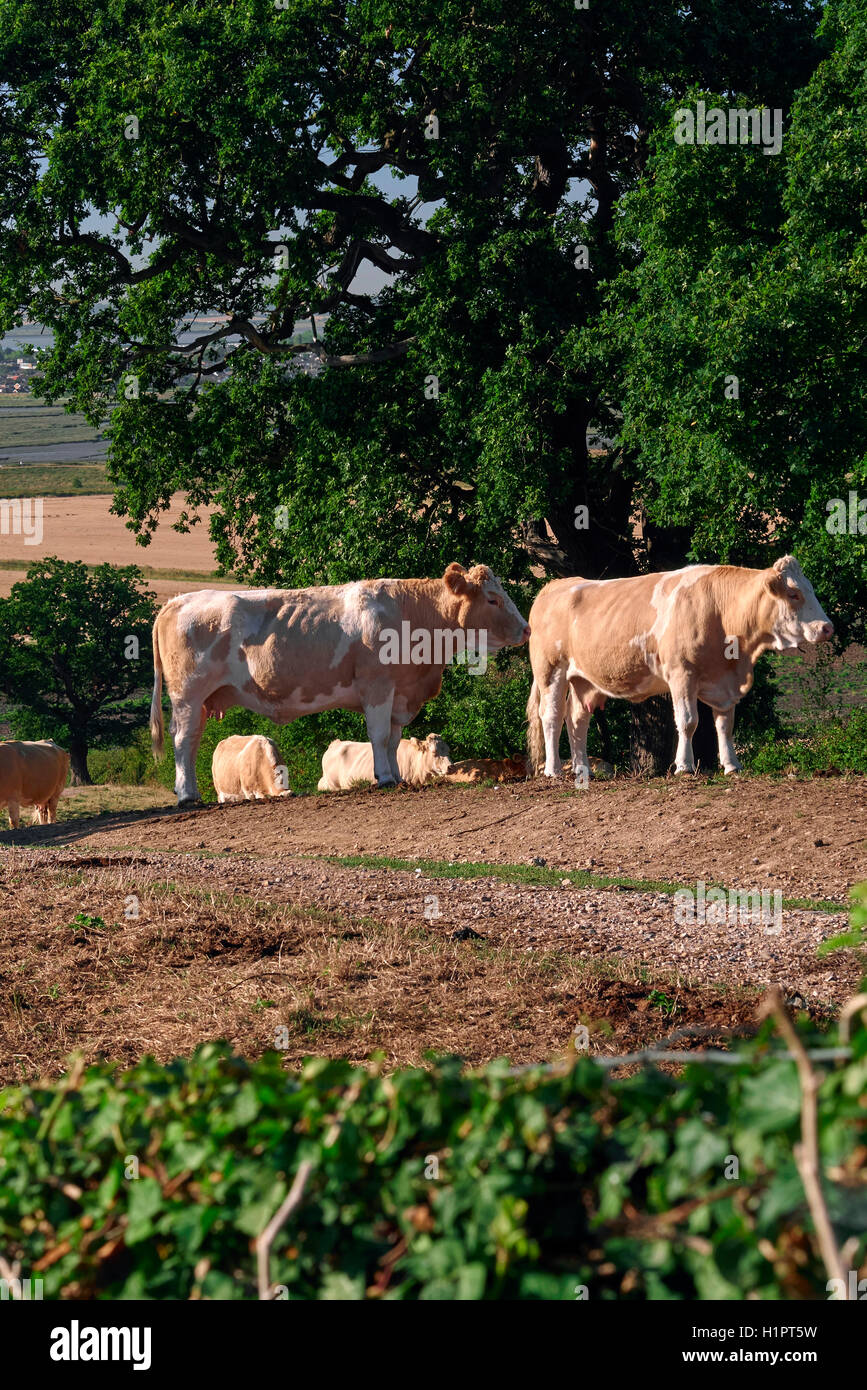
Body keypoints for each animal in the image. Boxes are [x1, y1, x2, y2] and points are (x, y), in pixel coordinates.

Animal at [525, 556, 828, 795]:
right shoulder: (681, 674)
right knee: (551, 717)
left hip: (584, 680)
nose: (827, 627)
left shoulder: (725, 684)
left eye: (811, 590)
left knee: (577, 720)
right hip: (551, 671)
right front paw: (684, 766)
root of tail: (555, 586)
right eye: (794, 594)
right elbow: (688, 722)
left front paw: (732, 765)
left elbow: (725, 726)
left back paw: (582, 768)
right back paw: (553, 770)